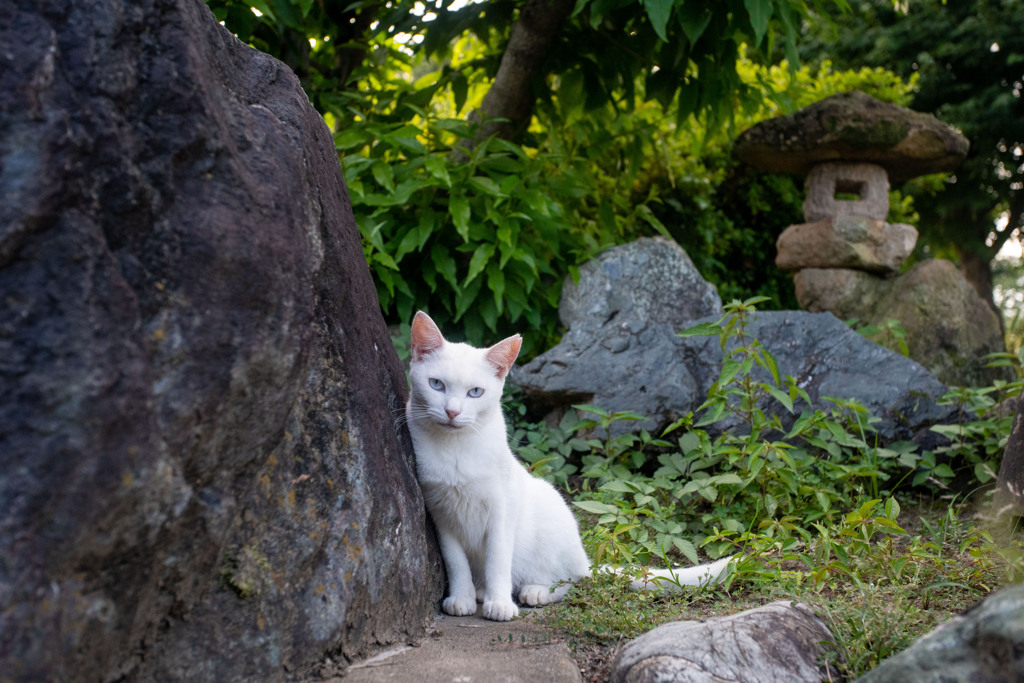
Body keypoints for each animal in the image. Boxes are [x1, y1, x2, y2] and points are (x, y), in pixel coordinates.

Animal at [403, 313, 733, 622]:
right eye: (436, 385)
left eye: (475, 392)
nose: (452, 411)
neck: (455, 448)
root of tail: (583, 559)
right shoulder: (441, 513)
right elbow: (455, 561)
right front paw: (462, 597)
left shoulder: (502, 508)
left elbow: (498, 558)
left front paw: (501, 604)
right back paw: (481, 591)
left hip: (552, 522)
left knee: (571, 581)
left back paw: (535, 591)